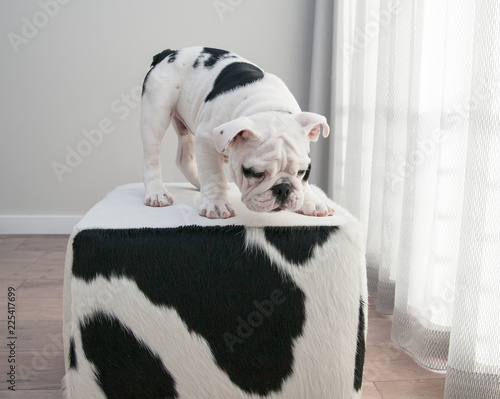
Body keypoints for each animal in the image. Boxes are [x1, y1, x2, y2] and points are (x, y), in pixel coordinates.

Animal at [141, 48, 336, 222]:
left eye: (303, 172)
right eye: (256, 173)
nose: (283, 189)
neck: (266, 107)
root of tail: (169, 53)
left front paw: (313, 201)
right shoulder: (206, 139)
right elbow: (214, 174)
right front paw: (216, 204)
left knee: (184, 158)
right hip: (156, 113)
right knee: (152, 157)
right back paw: (157, 193)